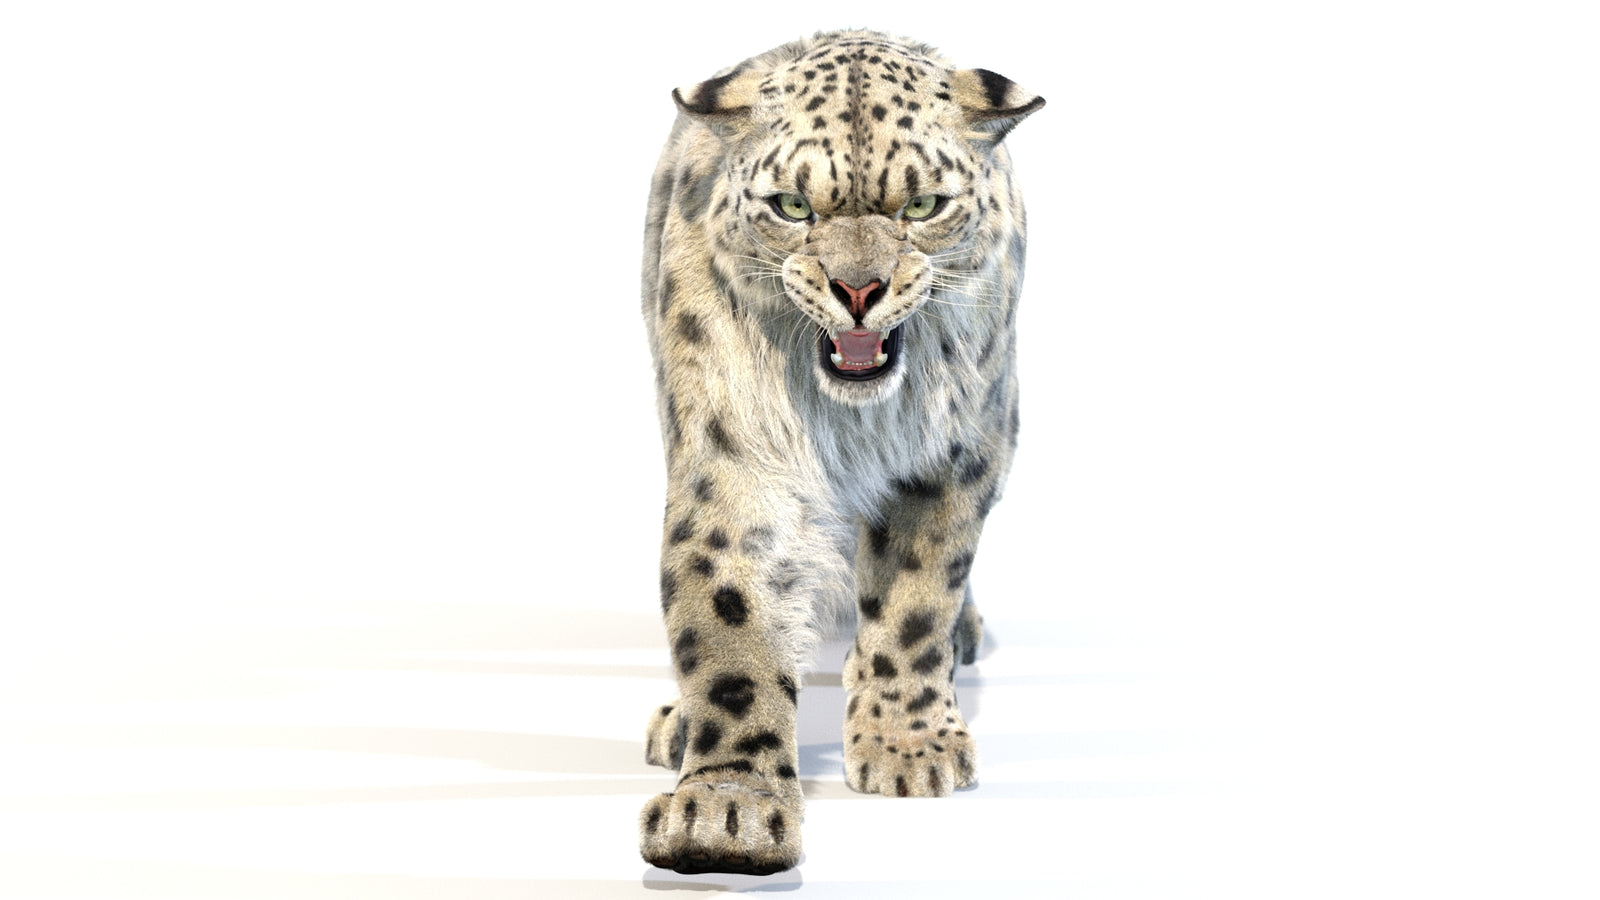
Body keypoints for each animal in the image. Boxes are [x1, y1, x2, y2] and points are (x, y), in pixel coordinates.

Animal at [637, 29, 1042, 875]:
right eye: (793, 206)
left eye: (922, 205)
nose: (859, 290)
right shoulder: (735, 463)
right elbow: (728, 625)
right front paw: (724, 811)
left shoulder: (953, 453)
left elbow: (915, 599)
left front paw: (907, 747)